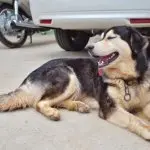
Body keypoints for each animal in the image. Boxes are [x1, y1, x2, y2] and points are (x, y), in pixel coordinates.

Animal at [0, 26, 150, 141]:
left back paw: (78, 105)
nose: (89, 47)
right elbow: (133, 118)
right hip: (69, 76)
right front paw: (147, 129)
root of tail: (31, 75)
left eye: (111, 38)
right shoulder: (110, 107)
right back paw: (52, 112)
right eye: (101, 37)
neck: (128, 79)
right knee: (39, 102)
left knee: (55, 101)